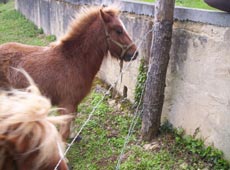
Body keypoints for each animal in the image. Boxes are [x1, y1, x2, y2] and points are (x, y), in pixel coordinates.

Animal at [0, 5, 137, 140]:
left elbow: (73, 120)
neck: (74, 61)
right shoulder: (67, 103)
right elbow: (63, 133)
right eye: (118, 30)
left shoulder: (73, 103)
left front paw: (73, 135)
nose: (135, 53)